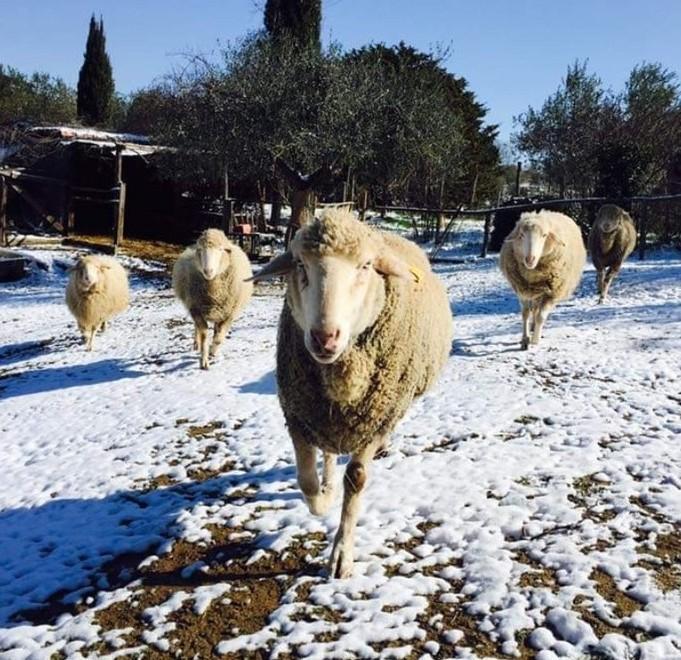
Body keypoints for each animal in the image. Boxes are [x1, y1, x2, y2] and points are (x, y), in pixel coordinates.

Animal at [172, 228, 253, 369]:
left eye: (220, 250)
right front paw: (204, 360)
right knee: (197, 328)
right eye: (200, 250)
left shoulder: (229, 313)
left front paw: (212, 352)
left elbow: (219, 337)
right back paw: (197, 344)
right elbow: (204, 334)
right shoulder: (195, 309)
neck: (214, 292)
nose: (208, 271)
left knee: (216, 331)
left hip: (220, 311)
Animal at [251, 208, 453, 578]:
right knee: (329, 453)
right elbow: (306, 482)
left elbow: (356, 479)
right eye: (300, 264)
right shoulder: (300, 415)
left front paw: (341, 554)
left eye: (366, 266)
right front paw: (323, 499)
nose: (324, 337)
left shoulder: (374, 420)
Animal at [499, 210, 586, 350]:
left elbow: (541, 316)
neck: (533, 274)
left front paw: (535, 340)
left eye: (544, 235)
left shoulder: (552, 294)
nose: (530, 259)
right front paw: (525, 340)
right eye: (521, 235)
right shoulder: (522, 291)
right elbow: (525, 314)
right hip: (534, 293)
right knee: (534, 310)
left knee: (537, 312)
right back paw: (532, 327)